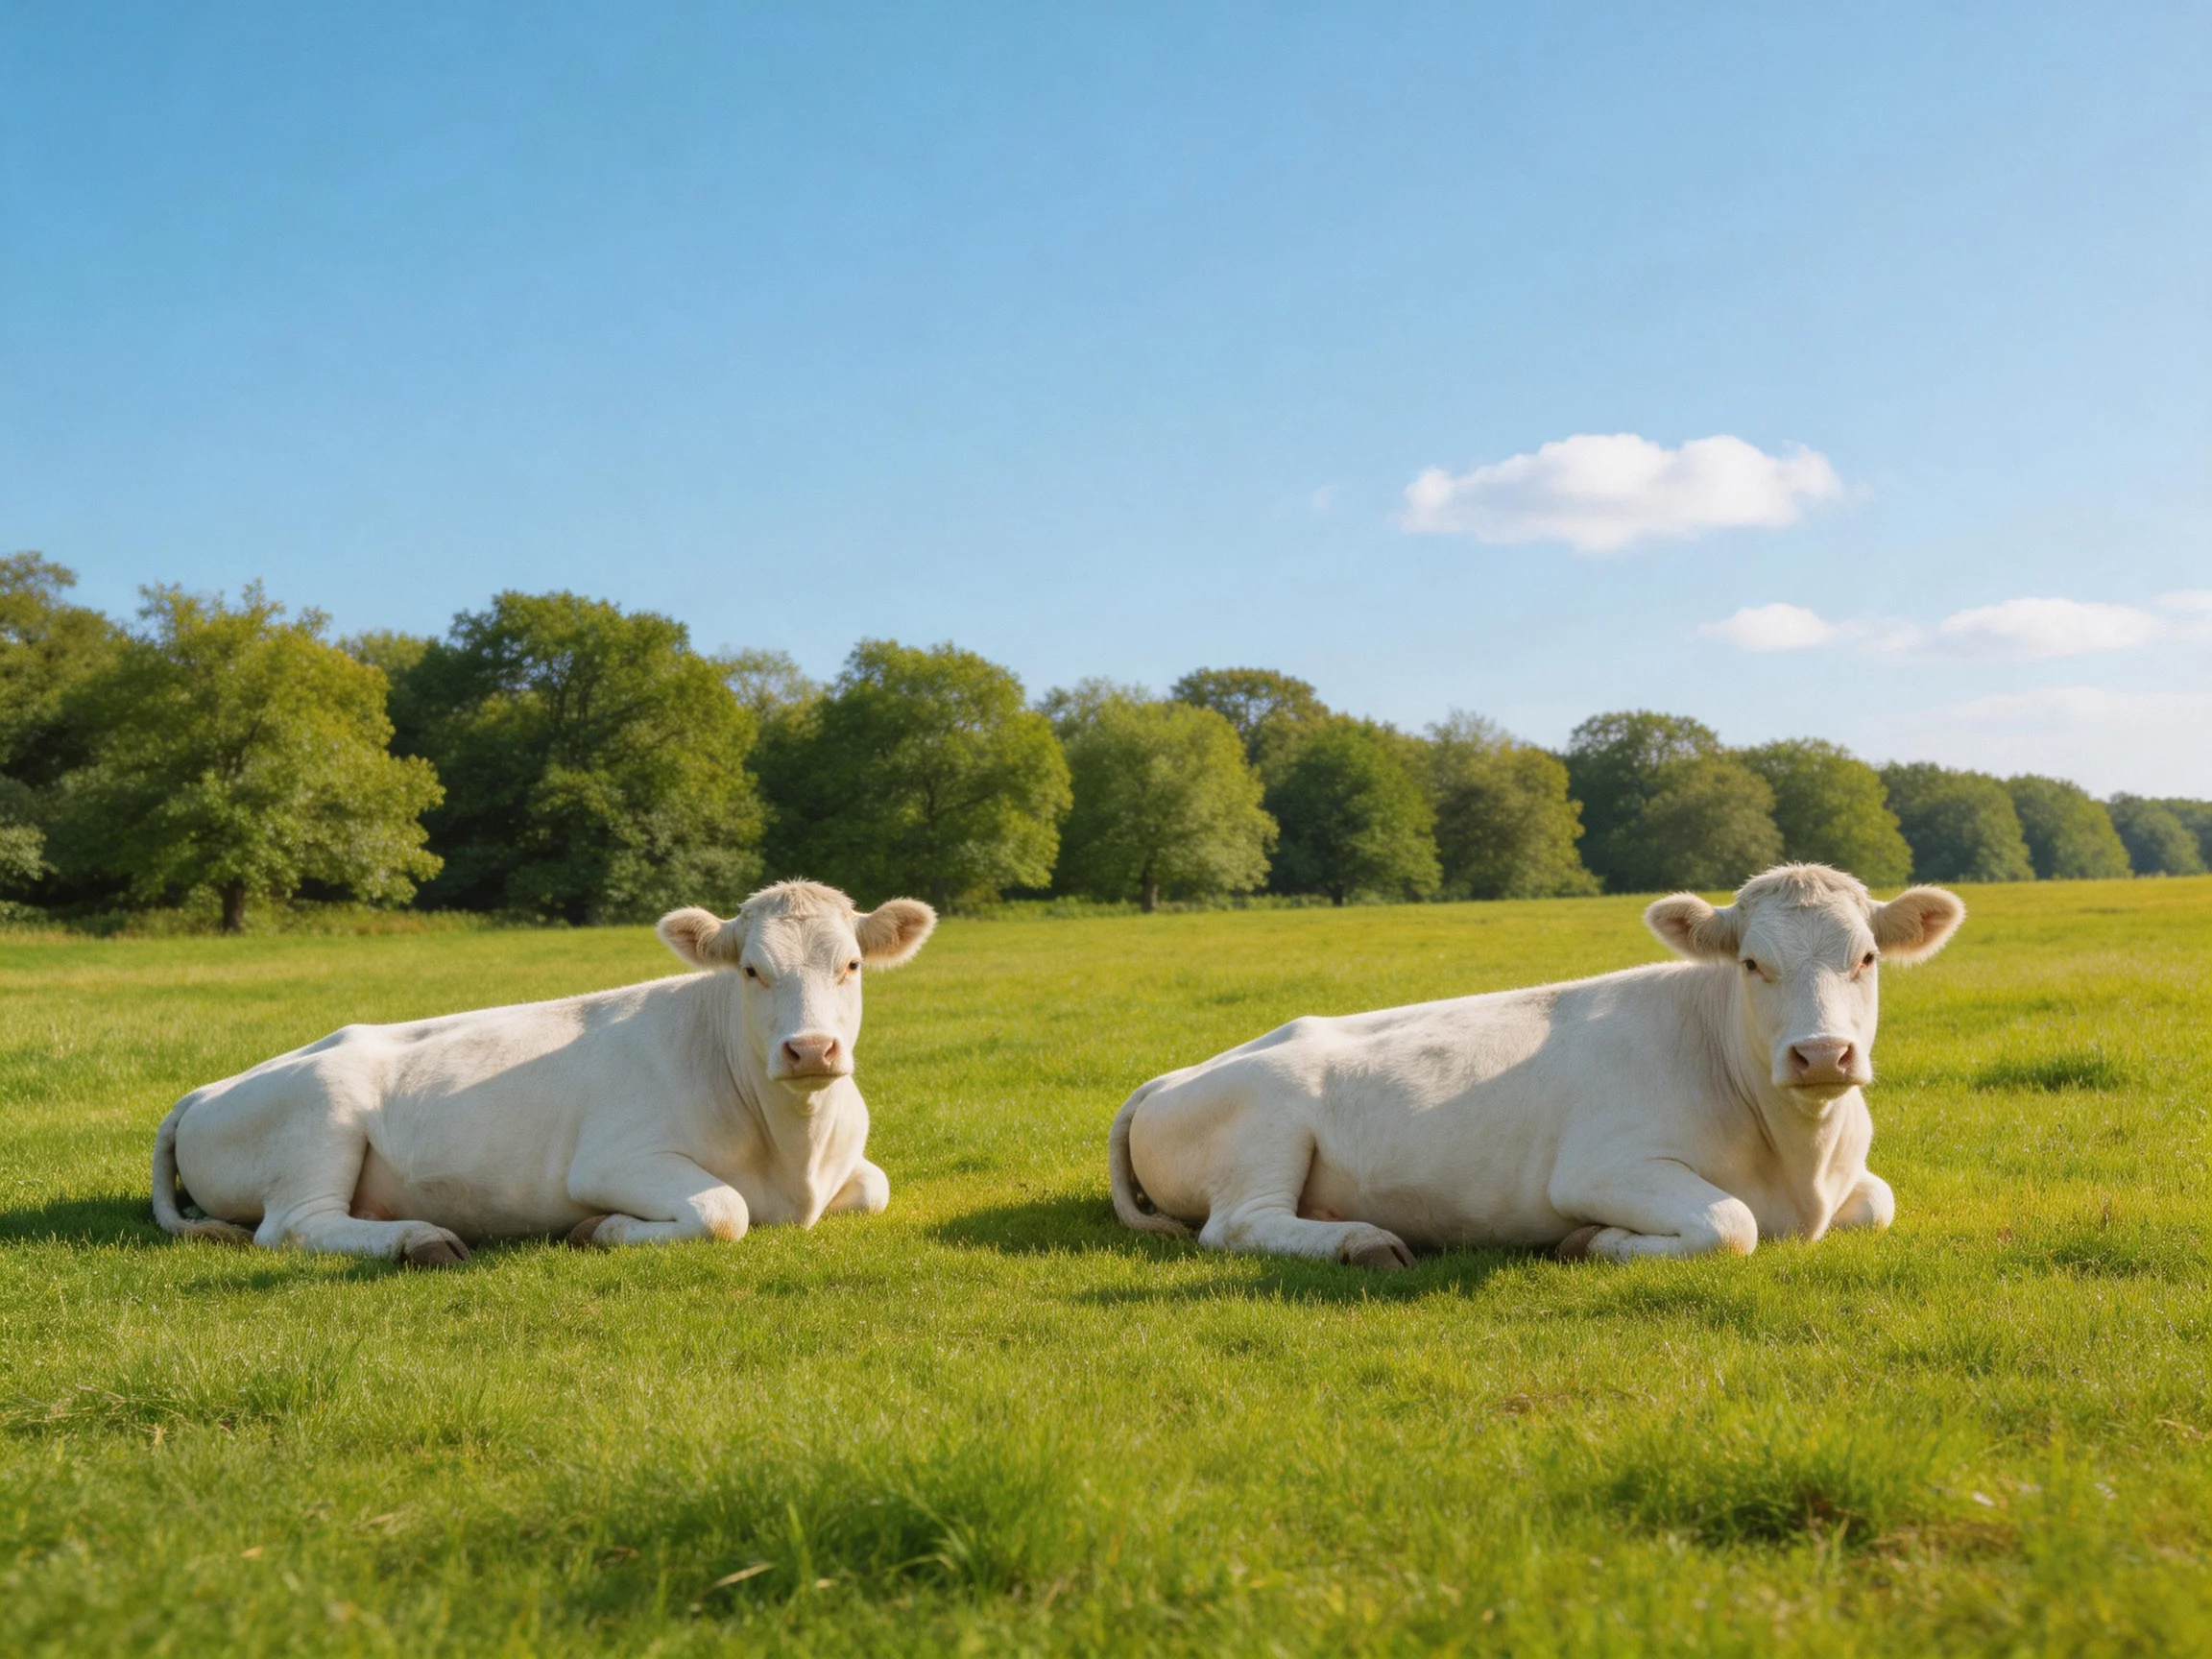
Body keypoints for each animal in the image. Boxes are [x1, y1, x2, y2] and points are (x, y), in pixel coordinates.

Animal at [151, 880, 936, 1265]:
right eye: (750, 970)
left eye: (852, 964)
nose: (810, 1050)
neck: (795, 1155)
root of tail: (207, 1090)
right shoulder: (610, 1160)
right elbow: (725, 1211)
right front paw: (598, 1230)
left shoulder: (853, 1168)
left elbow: (875, 1187)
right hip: (321, 1111)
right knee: (293, 1227)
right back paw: (421, 1240)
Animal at [1108, 864, 1963, 1267]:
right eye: (1752, 963)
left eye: (1867, 957)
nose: (1821, 1053)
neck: (1801, 1162)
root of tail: (1172, 1077)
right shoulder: (1599, 1167)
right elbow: (1732, 1223)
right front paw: (1591, 1242)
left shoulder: (1855, 1183)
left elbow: (1878, 1201)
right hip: (1266, 1121)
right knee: (1239, 1225)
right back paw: (1365, 1242)